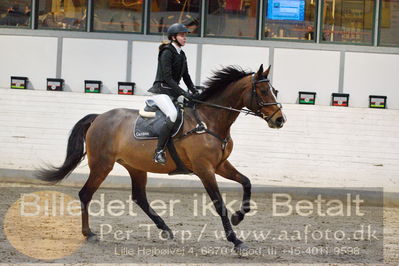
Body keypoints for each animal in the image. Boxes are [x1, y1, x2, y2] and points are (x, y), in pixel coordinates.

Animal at [36, 64, 284, 251]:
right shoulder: (204, 169)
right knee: (85, 194)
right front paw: (236, 240)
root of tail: (98, 118)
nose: (280, 120)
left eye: (275, 90)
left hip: (135, 167)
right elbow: (219, 203)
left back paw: (165, 229)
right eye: (263, 92)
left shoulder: (220, 165)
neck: (210, 120)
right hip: (102, 165)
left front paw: (239, 216)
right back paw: (89, 233)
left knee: (139, 197)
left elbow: (246, 182)